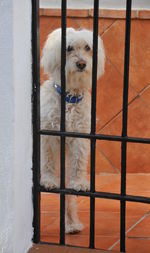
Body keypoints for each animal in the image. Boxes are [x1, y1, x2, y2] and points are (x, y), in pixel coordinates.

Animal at [40, 28, 105, 233]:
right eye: (68, 48)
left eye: (88, 47)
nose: (81, 64)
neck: (70, 98)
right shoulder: (48, 136)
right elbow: (48, 162)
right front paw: (48, 180)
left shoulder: (79, 138)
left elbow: (78, 165)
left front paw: (79, 183)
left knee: (67, 196)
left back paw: (71, 224)